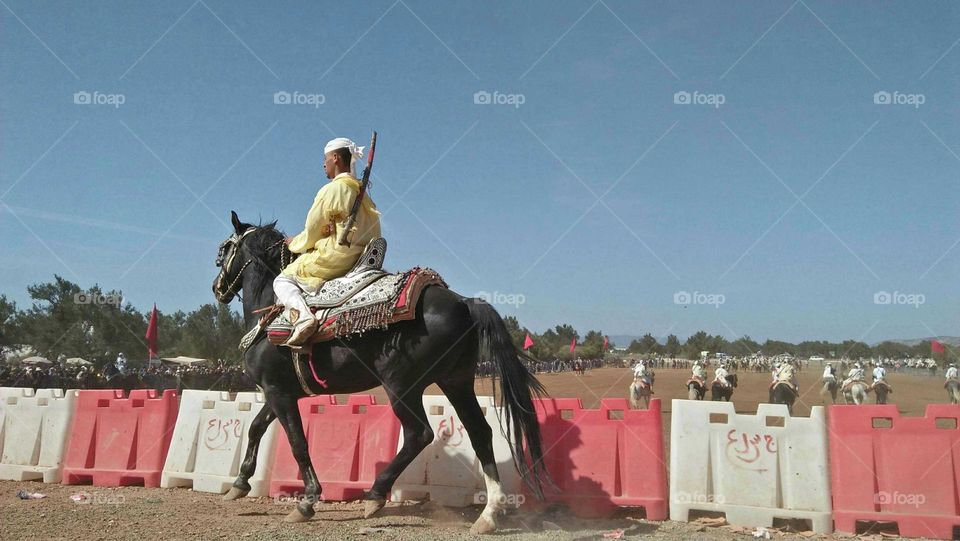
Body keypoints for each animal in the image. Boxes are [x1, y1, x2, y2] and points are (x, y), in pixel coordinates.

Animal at [214, 213, 552, 532]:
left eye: (224, 249)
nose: (217, 287)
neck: (271, 315)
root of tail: (465, 302)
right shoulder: (281, 392)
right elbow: (256, 427)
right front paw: (239, 484)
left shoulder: (278, 392)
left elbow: (297, 442)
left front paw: (307, 501)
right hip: (456, 381)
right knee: (479, 432)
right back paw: (489, 514)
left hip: (402, 386)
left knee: (420, 434)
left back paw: (376, 494)